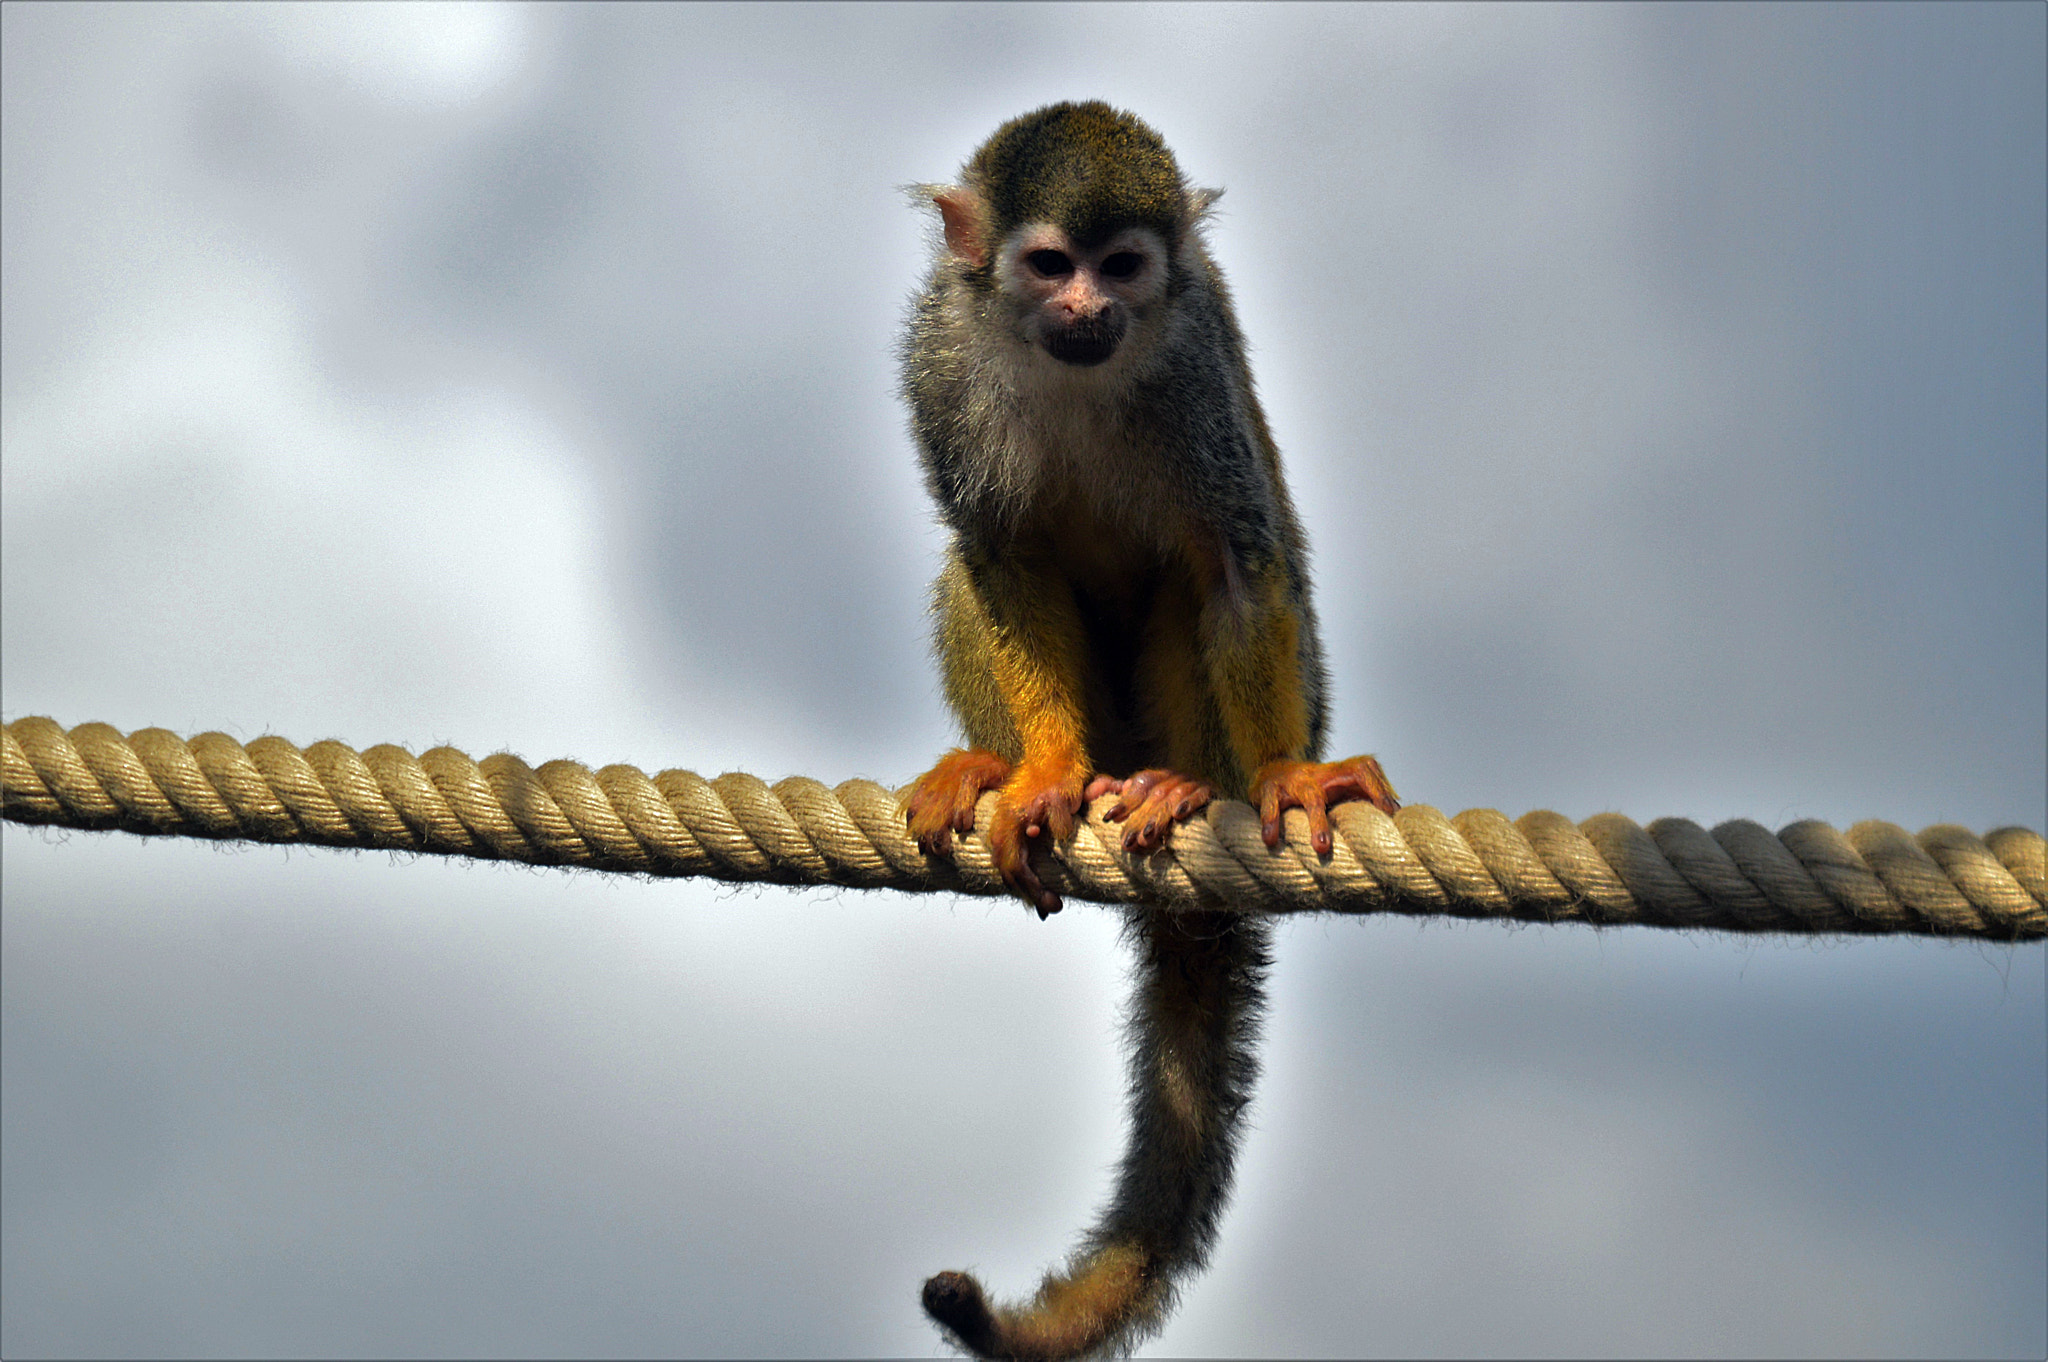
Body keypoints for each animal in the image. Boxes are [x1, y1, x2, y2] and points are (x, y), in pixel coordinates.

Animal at [900, 102, 1399, 1360]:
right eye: (1048, 266)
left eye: (1120, 266)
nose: (1089, 309)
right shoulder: (938, 354)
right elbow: (1001, 554)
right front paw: (1040, 775)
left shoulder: (1191, 358)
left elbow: (1231, 562)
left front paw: (1287, 775)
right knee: (967, 567)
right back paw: (1002, 765)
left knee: (1198, 580)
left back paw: (1186, 789)